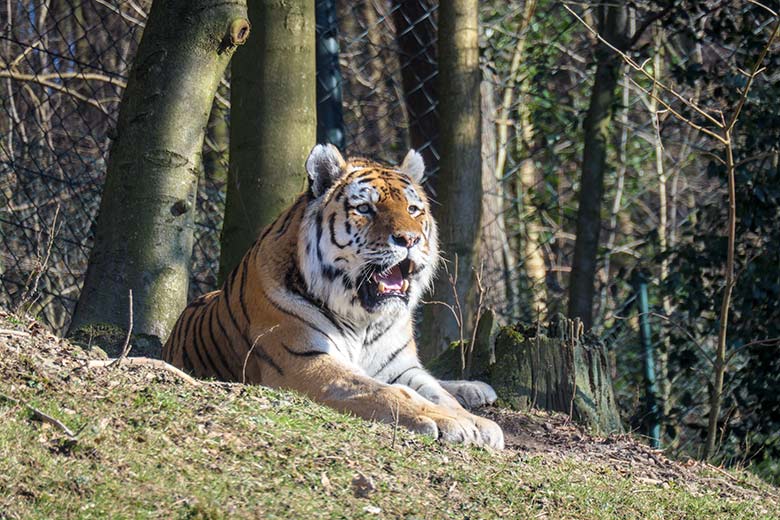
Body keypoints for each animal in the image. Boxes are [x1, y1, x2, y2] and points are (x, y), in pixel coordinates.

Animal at [165, 144, 506, 448]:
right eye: (365, 209)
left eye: (413, 210)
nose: (410, 239)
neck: (363, 318)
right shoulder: (305, 360)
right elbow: (385, 391)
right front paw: (450, 421)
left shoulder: (401, 368)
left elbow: (438, 392)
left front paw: (479, 423)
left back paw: (477, 389)